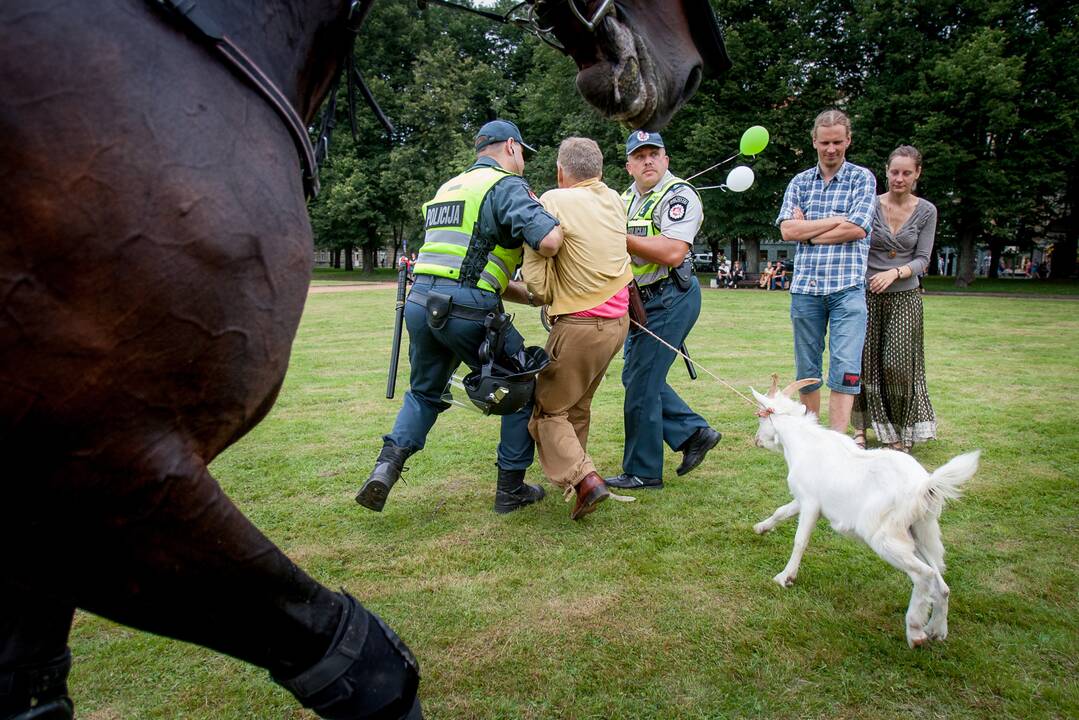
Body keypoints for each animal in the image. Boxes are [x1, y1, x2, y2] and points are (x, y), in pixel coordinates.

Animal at [750, 377, 979, 647]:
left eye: (760, 418)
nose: (756, 441)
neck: (804, 443)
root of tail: (923, 486)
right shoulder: (804, 500)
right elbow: (780, 511)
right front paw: (760, 528)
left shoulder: (810, 503)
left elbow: (800, 540)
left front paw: (785, 577)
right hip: (917, 533)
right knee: (940, 584)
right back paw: (937, 630)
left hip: (883, 536)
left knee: (924, 574)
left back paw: (915, 630)